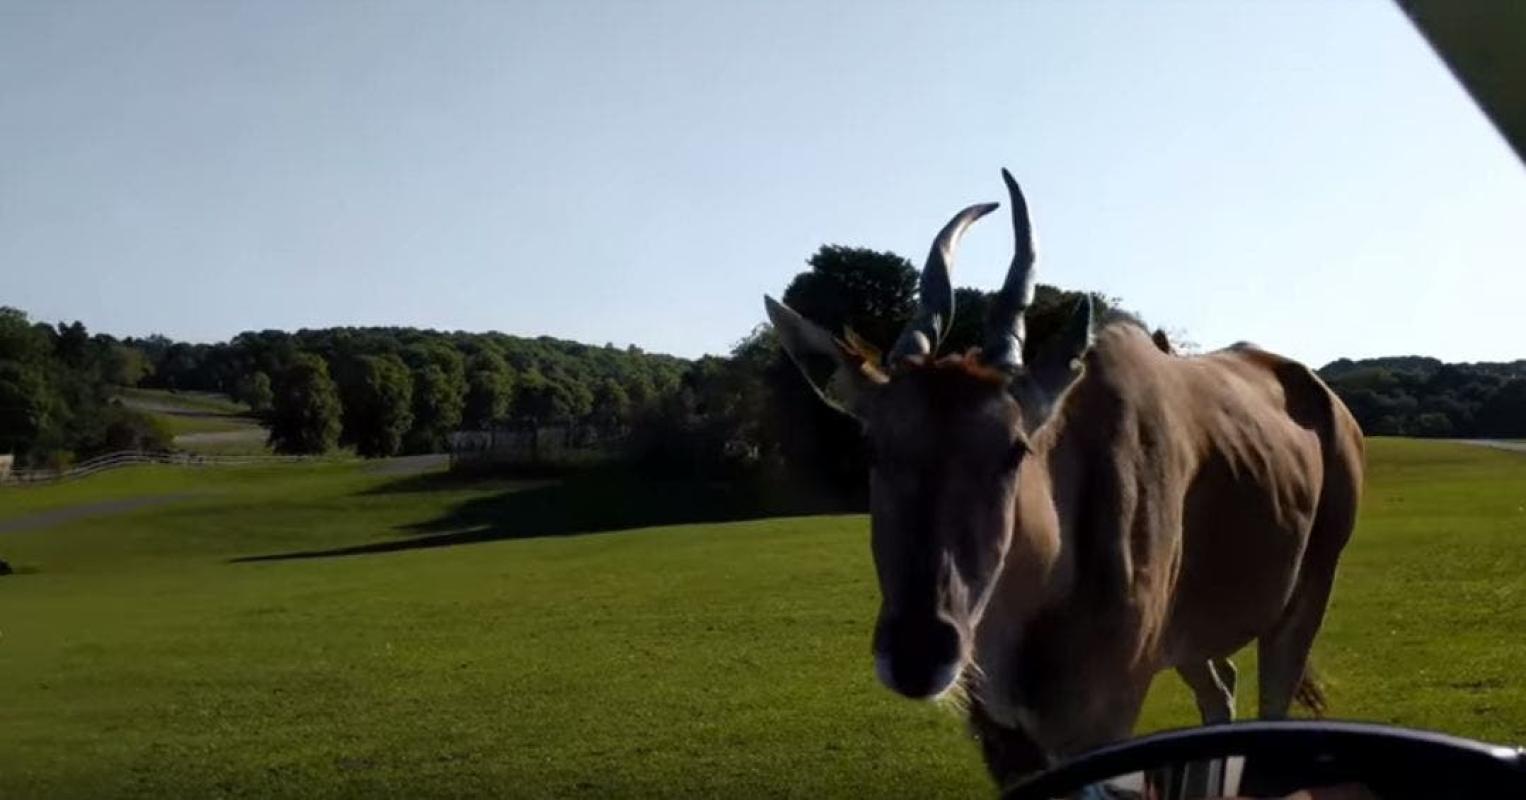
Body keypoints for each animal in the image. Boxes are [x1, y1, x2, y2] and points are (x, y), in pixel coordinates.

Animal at [763, 169, 1364, 789]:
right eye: (874, 446)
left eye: (1015, 449)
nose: (917, 653)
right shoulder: (1006, 738)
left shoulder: (1104, 716)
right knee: (1220, 695)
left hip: (1305, 600)